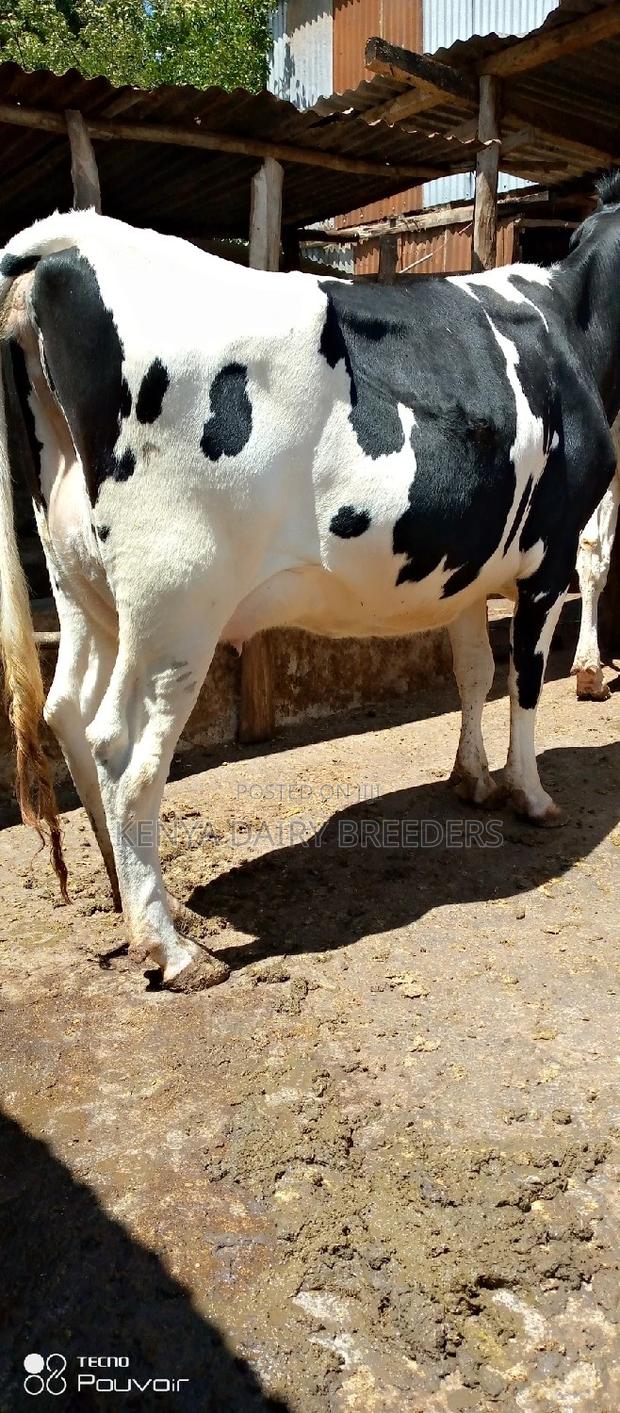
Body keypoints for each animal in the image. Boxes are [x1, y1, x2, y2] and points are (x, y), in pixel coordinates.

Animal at [0, 171, 618, 990]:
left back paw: (129, 892)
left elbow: (472, 670)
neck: (572, 320)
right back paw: (170, 946)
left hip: (79, 580)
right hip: (176, 602)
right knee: (120, 745)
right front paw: (532, 794)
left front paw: (473, 778)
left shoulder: (469, 563)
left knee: (68, 708)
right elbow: (522, 681)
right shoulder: (550, 554)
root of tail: (76, 240)